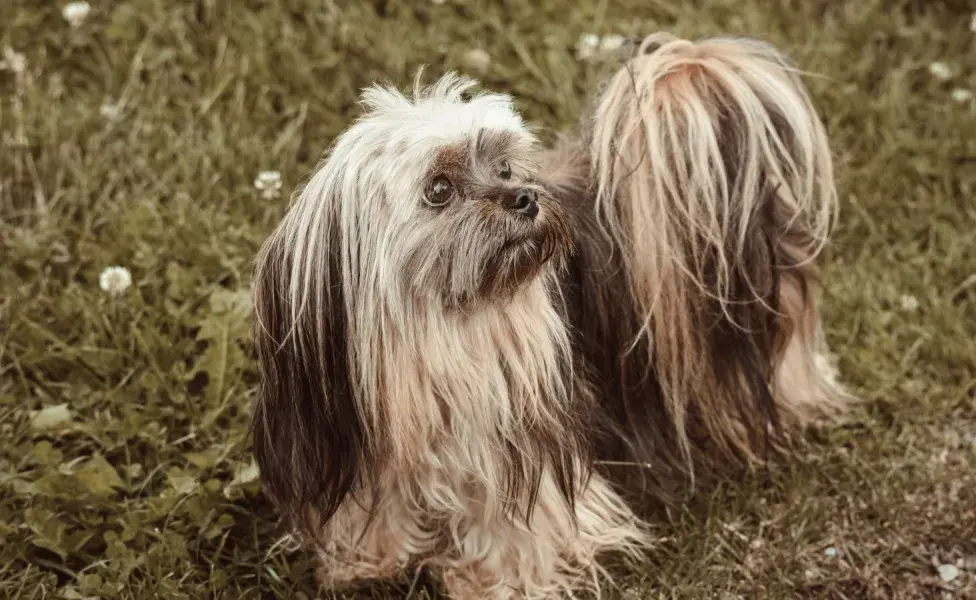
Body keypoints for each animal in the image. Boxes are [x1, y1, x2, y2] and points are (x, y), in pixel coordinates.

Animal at [248, 34, 852, 600]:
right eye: (438, 189)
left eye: (503, 166)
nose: (523, 197)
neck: (440, 337)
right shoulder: (349, 441)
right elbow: (373, 510)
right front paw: (367, 562)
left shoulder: (524, 444)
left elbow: (514, 523)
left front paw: (493, 581)